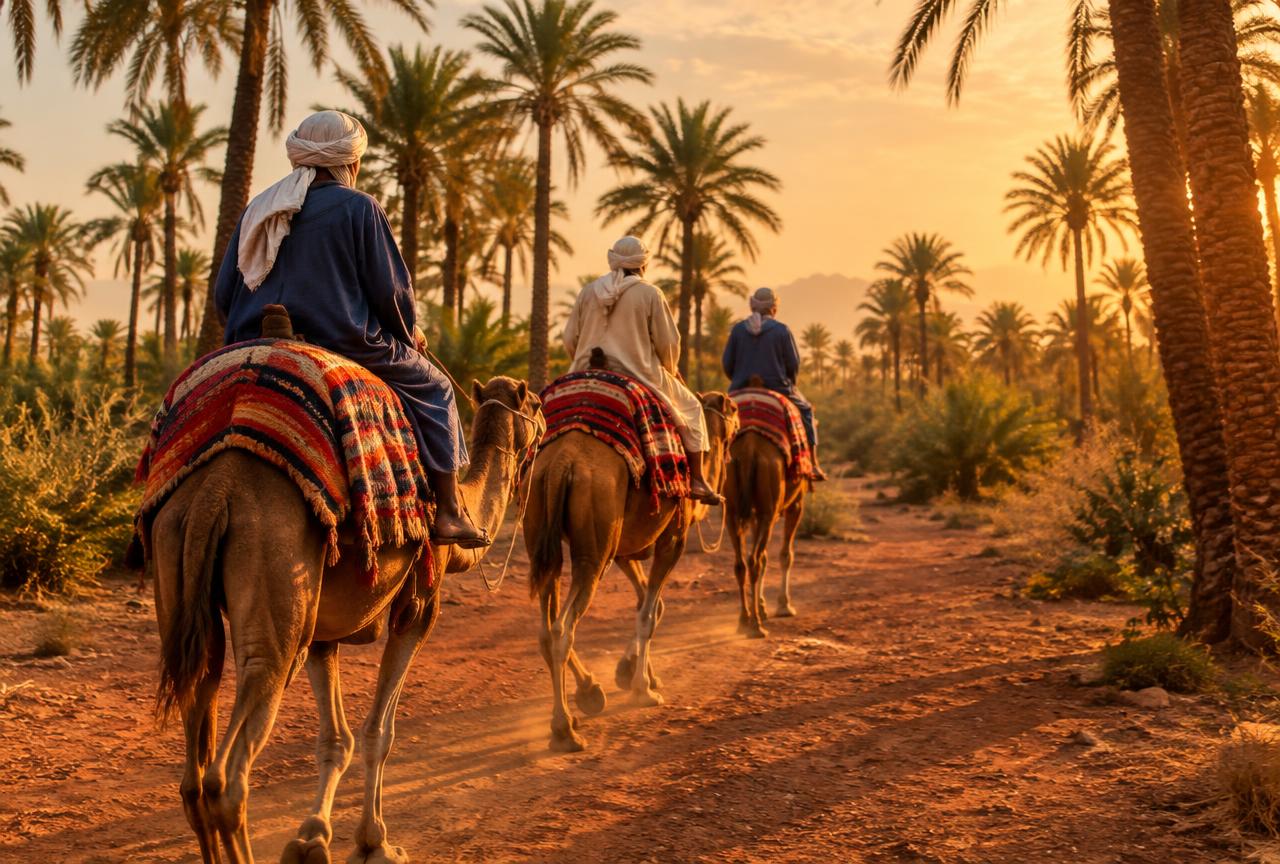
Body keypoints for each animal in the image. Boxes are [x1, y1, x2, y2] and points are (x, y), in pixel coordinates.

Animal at [148, 375, 543, 864]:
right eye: (538, 406)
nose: (546, 425)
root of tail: (213, 493)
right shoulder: (419, 606)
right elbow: (379, 731)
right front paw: (376, 841)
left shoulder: (322, 632)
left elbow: (335, 738)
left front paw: (312, 837)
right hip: (275, 591)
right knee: (225, 778)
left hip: (177, 559)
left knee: (193, 776)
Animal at [523, 391, 739, 752]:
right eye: (733, 410)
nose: (738, 424)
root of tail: (561, 464)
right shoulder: (672, 539)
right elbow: (648, 614)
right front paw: (643, 689)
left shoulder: (626, 549)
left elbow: (649, 605)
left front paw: (634, 672)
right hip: (594, 552)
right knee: (561, 628)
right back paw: (566, 730)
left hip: (540, 533)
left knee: (544, 627)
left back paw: (583, 700)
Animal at [724, 427, 807, 639]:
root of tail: (749, 449)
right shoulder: (796, 503)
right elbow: (786, 555)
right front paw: (784, 606)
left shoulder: (753, 514)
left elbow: (765, 557)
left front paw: (762, 607)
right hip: (768, 512)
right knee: (754, 561)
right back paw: (756, 626)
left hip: (732, 511)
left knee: (741, 563)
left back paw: (744, 620)